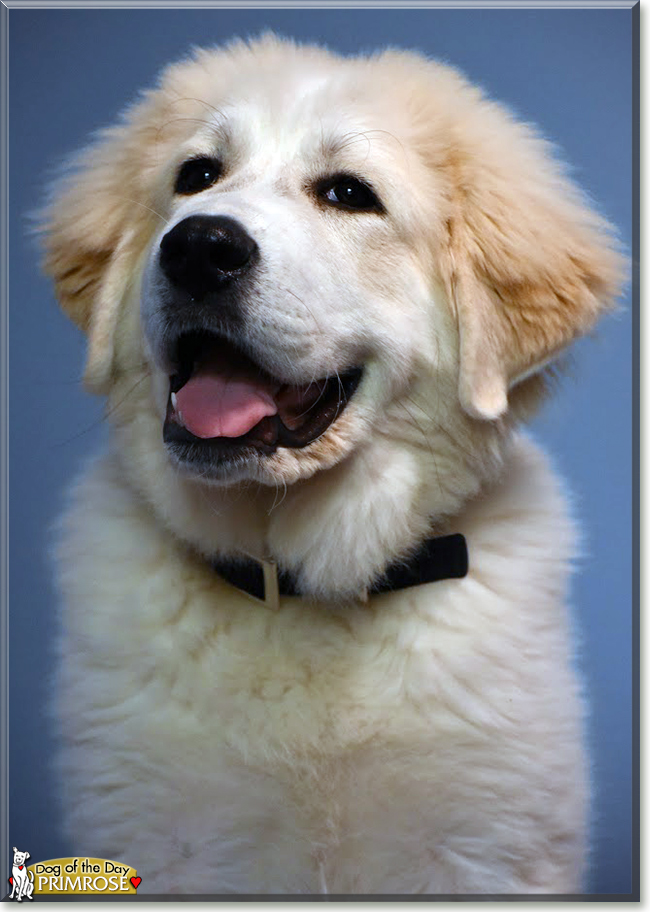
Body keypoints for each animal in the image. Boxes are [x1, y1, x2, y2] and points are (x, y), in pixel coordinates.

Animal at [41, 33, 624, 892]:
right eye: (196, 176)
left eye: (349, 194)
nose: (197, 247)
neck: (302, 581)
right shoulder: (162, 839)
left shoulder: (485, 849)